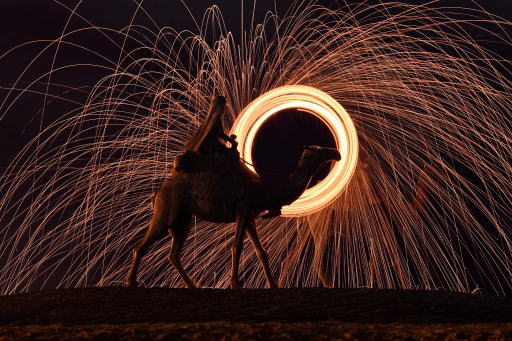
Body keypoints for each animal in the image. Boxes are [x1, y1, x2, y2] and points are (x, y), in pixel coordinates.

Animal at [124, 95, 342, 286]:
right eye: (318, 149)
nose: (337, 153)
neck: (266, 191)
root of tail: (158, 192)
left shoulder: (250, 217)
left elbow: (261, 252)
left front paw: (273, 284)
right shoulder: (243, 210)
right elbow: (237, 246)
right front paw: (235, 283)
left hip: (182, 220)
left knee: (173, 255)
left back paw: (193, 285)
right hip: (166, 212)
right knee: (141, 246)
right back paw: (131, 282)